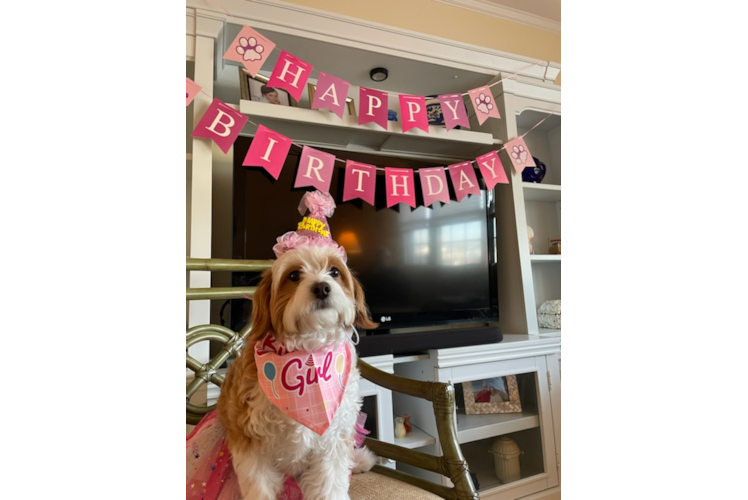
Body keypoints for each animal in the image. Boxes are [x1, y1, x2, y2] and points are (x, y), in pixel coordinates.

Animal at [216, 243, 380, 500]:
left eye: (334, 272)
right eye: (294, 275)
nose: (322, 287)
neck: (308, 353)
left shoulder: (333, 439)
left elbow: (330, 485)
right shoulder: (249, 442)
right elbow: (259, 487)